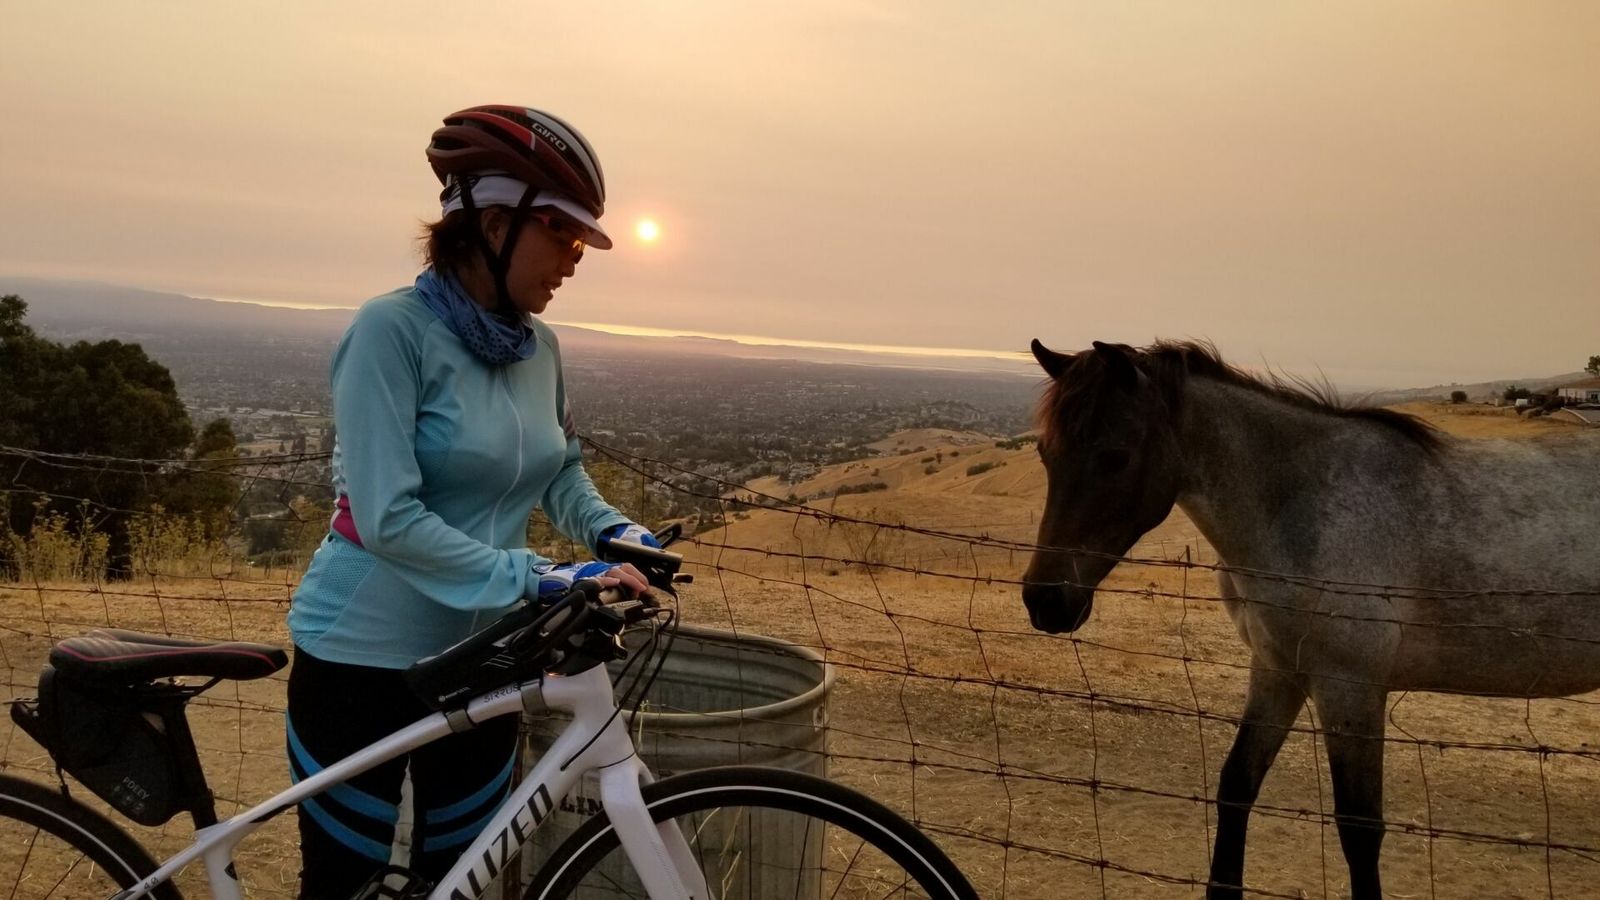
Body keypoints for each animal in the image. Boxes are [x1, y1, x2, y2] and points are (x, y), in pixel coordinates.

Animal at [1021, 338, 1600, 899]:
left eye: (1115, 457)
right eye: (1046, 454)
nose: (1045, 601)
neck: (1303, 504)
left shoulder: (1350, 690)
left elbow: (1359, 829)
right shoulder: (1278, 672)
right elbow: (1237, 786)